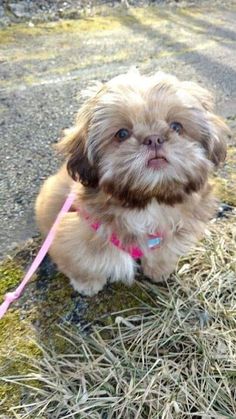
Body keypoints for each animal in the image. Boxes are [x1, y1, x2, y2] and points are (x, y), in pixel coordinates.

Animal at [35, 69, 229, 296]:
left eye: (176, 126)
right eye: (122, 134)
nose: (154, 139)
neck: (148, 201)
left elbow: (163, 252)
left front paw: (159, 270)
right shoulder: (71, 231)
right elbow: (82, 262)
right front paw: (87, 283)